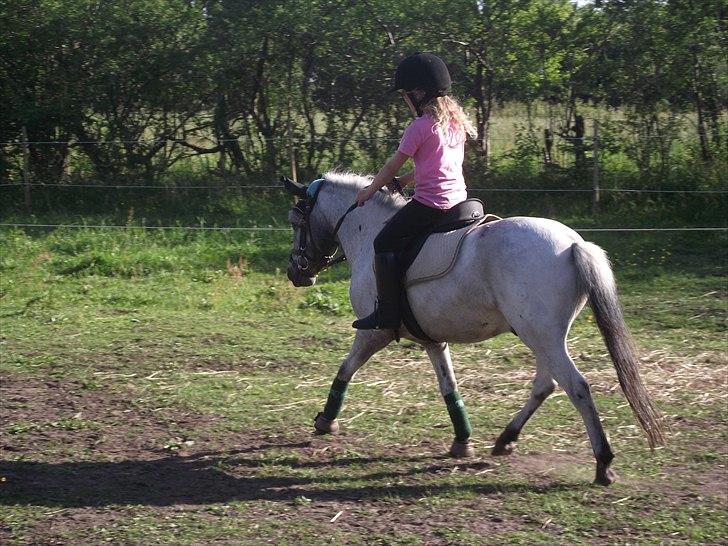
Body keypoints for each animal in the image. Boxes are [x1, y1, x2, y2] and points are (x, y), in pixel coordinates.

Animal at [282, 171, 665, 486]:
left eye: (296, 221)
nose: (296, 273)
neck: (369, 229)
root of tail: (573, 244)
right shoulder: (432, 340)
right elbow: (449, 387)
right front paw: (462, 441)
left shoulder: (373, 333)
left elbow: (345, 370)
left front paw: (325, 420)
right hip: (545, 337)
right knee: (546, 384)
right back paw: (506, 439)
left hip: (540, 336)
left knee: (577, 387)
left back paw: (603, 463)